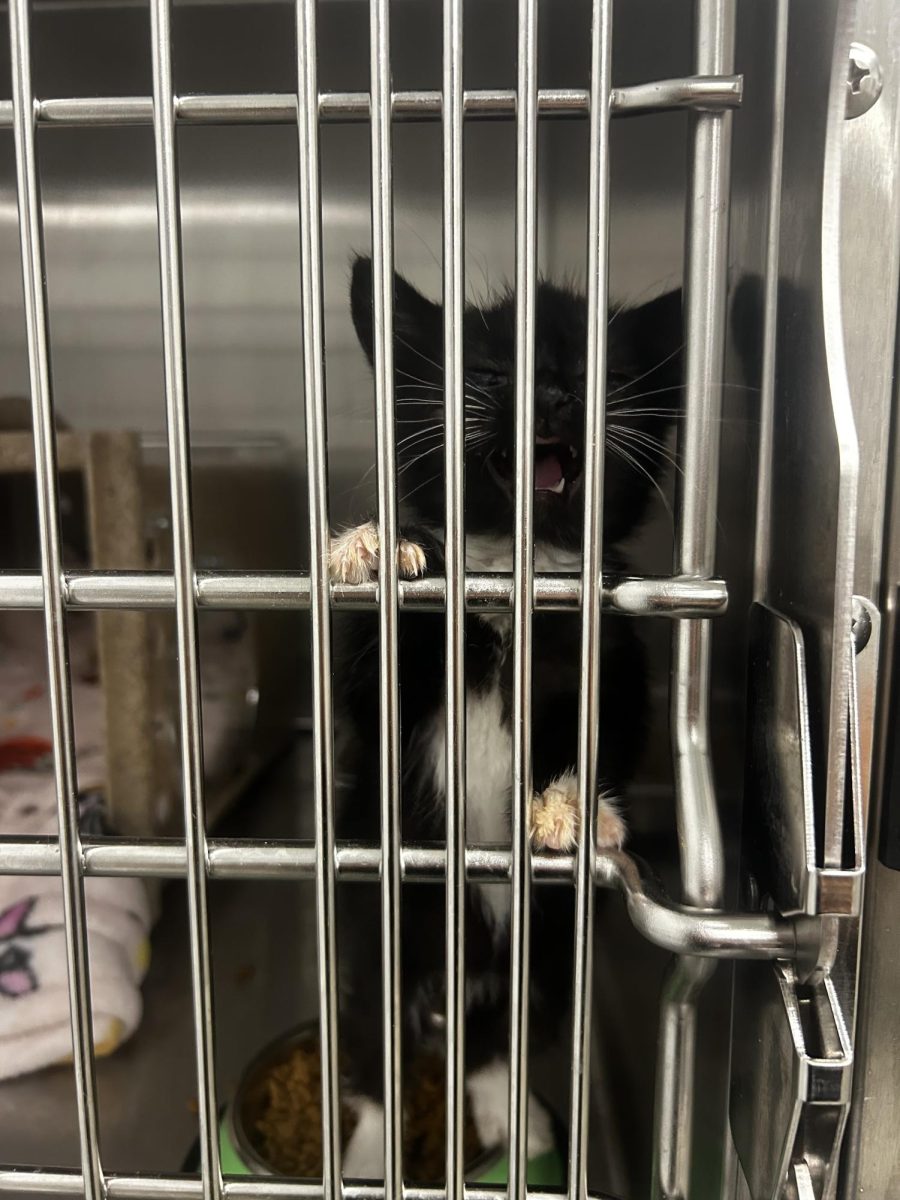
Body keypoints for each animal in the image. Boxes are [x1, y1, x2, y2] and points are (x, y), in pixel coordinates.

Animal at [331, 258, 681, 1176]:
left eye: (600, 373)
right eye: (488, 373)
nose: (552, 393)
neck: (507, 591)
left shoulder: (616, 655)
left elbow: (617, 733)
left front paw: (573, 808)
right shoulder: (378, 688)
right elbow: (368, 694)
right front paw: (379, 547)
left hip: (549, 957)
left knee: (499, 1039)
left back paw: (508, 1112)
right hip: (381, 935)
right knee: (377, 1045)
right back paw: (372, 1146)